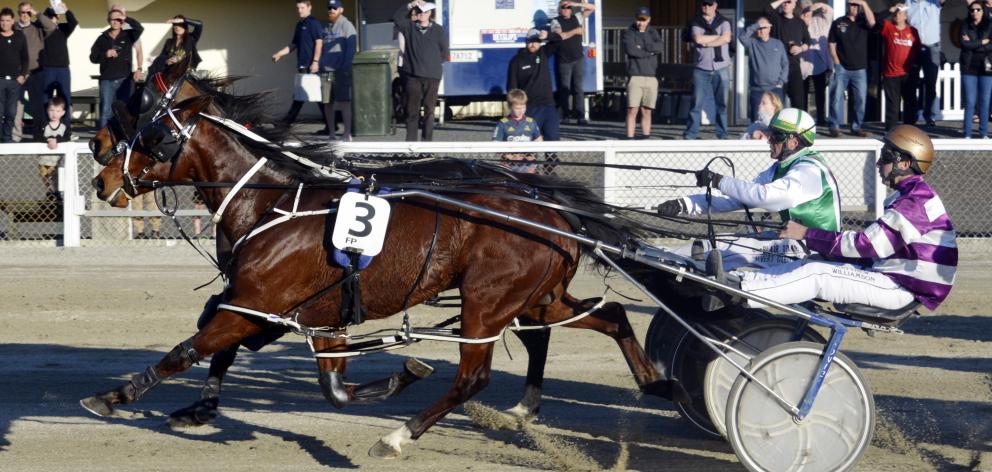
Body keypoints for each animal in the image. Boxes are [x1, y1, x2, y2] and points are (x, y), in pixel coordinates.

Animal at [81, 67, 668, 458]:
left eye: (144, 124)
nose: (99, 172)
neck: (273, 202)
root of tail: (549, 207)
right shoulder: (296, 313)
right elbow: (321, 383)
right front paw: (198, 408)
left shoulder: (259, 302)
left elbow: (190, 348)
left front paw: (114, 394)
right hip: (537, 295)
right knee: (602, 316)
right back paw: (644, 382)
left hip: (486, 300)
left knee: (474, 376)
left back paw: (398, 435)